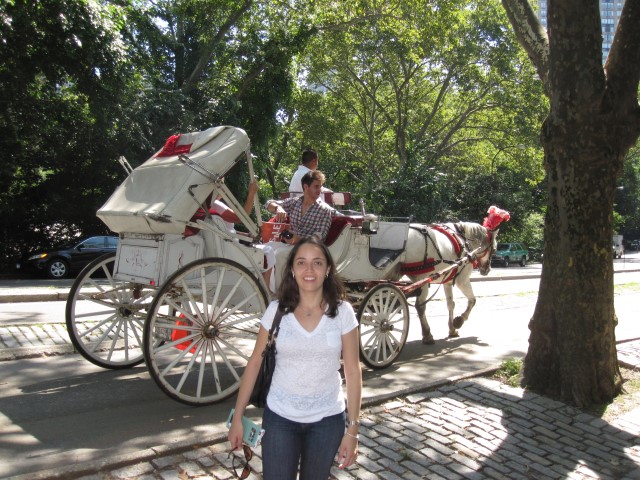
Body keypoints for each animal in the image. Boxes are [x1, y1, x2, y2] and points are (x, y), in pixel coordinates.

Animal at [384, 207, 510, 344]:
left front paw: (452, 329)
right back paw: (427, 334)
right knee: (420, 306)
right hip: (421, 279)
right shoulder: (462, 280)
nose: (487, 270)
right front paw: (459, 321)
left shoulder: (448, 281)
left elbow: (451, 303)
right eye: (495, 249)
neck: (464, 240)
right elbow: (473, 300)